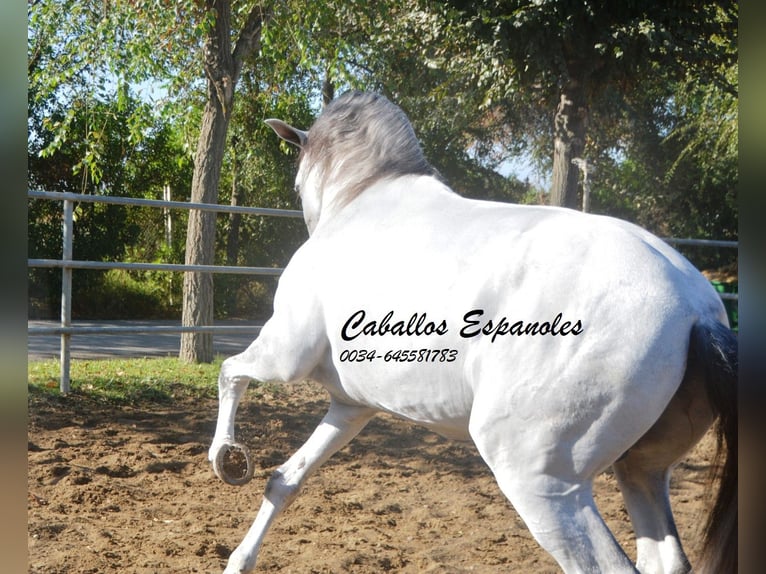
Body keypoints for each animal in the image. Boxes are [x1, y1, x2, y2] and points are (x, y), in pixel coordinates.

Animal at [208, 92, 736, 572]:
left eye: (298, 176)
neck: (362, 199)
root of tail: (695, 308)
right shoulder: (351, 406)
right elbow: (285, 480)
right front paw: (239, 559)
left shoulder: (285, 355)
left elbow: (230, 371)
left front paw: (227, 459)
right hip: (642, 468)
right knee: (664, 558)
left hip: (543, 484)